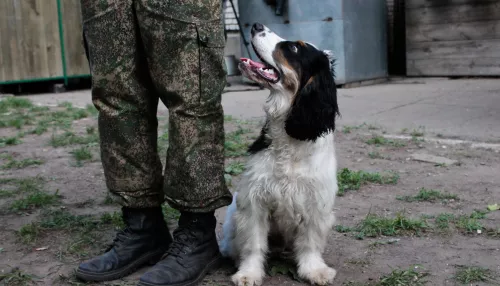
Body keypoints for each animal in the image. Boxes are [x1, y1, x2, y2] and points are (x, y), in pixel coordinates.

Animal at [222, 22, 342, 286]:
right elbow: (253, 245)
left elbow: (309, 244)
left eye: (294, 48)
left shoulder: (316, 203)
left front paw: (315, 271)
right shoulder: (254, 201)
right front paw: (248, 274)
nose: (256, 25)